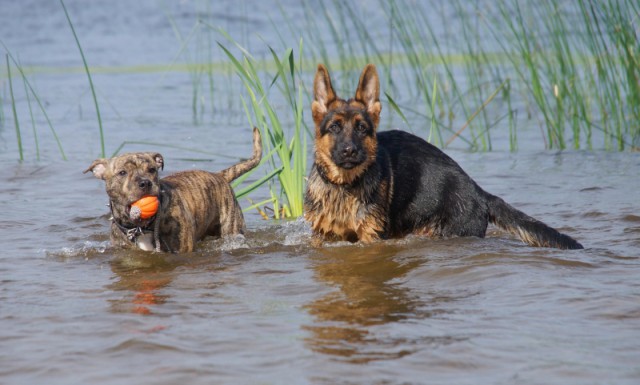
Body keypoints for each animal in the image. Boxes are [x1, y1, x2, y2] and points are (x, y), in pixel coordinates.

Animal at [85, 126, 262, 252]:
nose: (145, 183)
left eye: (152, 169)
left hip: (232, 227)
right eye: (122, 172)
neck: (141, 228)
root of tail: (219, 175)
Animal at [304, 63, 584, 249]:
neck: (344, 185)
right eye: (335, 127)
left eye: (362, 128)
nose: (349, 151)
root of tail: (479, 192)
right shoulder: (322, 236)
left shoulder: (371, 237)